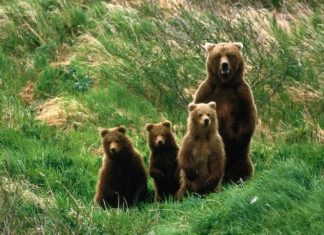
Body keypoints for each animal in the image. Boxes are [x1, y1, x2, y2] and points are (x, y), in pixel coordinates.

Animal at [194, 41, 256, 184]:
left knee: (243, 164)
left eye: (229, 54)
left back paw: (241, 178)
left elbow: (247, 116)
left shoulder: (241, 92)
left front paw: (238, 140)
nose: (224, 65)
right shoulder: (207, 91)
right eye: (218, 56)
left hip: (241, 158)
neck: (224, 84)